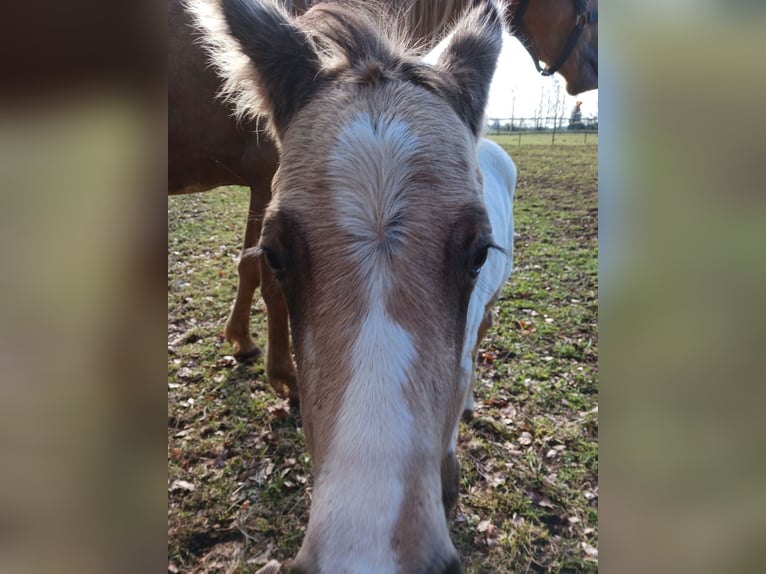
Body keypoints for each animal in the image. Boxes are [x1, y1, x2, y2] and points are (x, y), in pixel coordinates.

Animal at [168, 0, 600, 404]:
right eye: (586, 9)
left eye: (480, 254)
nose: (592, 71)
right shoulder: (266, 178)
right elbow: (265, 279)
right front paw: (283, 374)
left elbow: (248, 268)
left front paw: (242, 341)